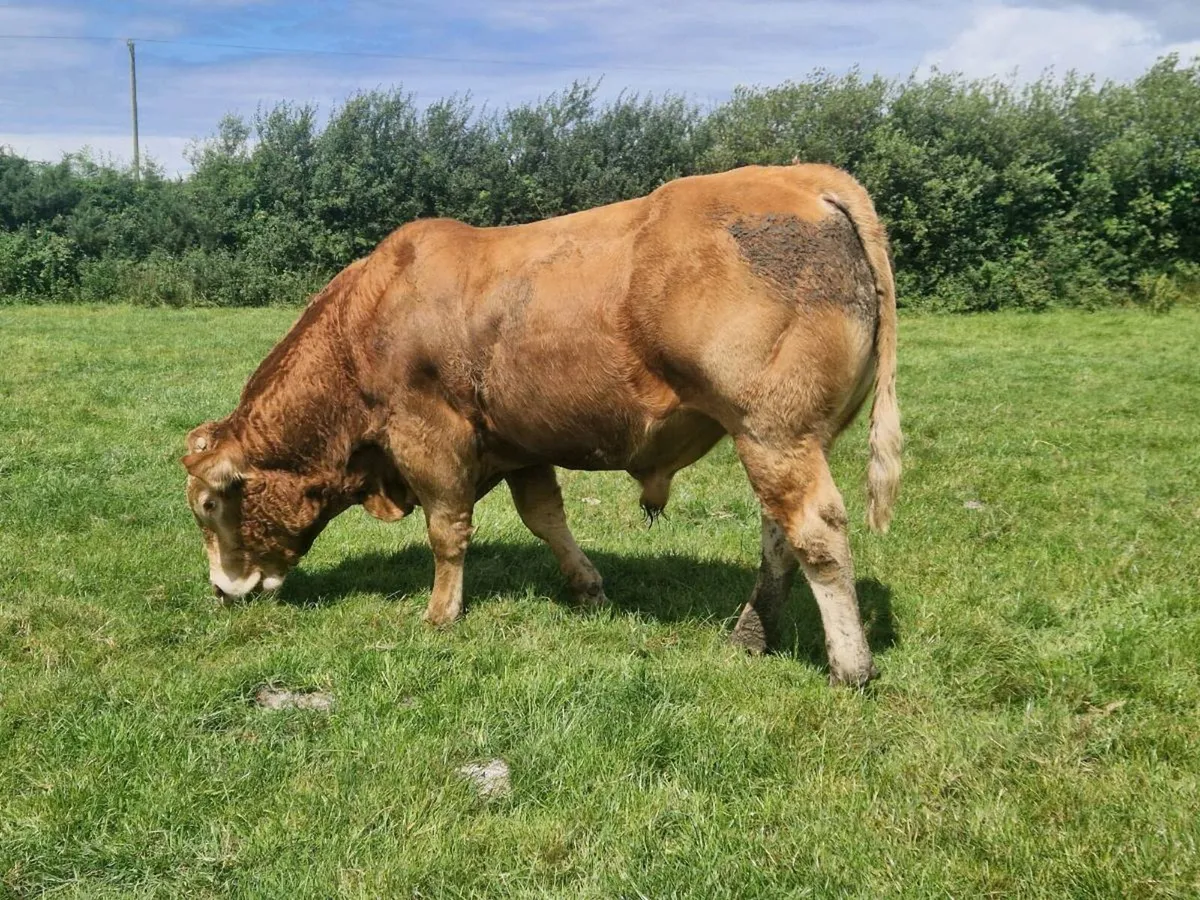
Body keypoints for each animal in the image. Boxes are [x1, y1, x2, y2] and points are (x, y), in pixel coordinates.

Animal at [180, 163, 901, 687]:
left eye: (210, 504)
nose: (220, 589)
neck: (369, 317)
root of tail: (804, 177)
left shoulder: (427, 435)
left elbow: (447, 530)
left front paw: (440, 613)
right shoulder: (519, 442)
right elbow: (545, 518)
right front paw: (587, 587)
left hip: (772, 430)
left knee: (815, 533)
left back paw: (849, 666)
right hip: (787, 439)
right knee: (778, 534)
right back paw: (752, 635)